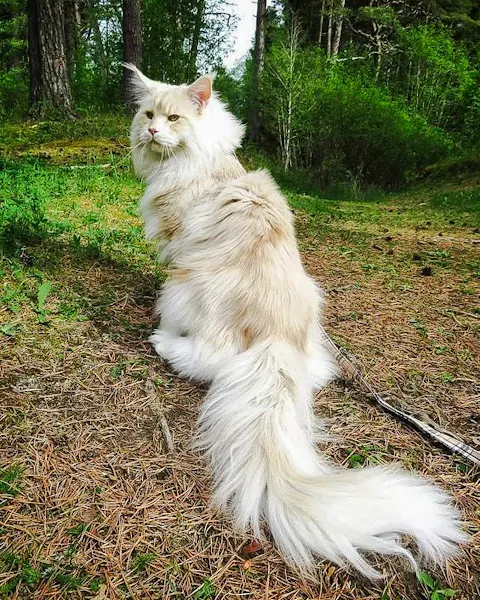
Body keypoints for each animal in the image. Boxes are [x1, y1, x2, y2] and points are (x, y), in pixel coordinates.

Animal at [126, 64, 468, 576]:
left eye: (173, 118)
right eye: (148, 114)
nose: (150, 132)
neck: (200, 164)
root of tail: (280, 337)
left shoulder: (173, 244)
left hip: (186, 288)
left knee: (204, 359)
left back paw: (162, 340)